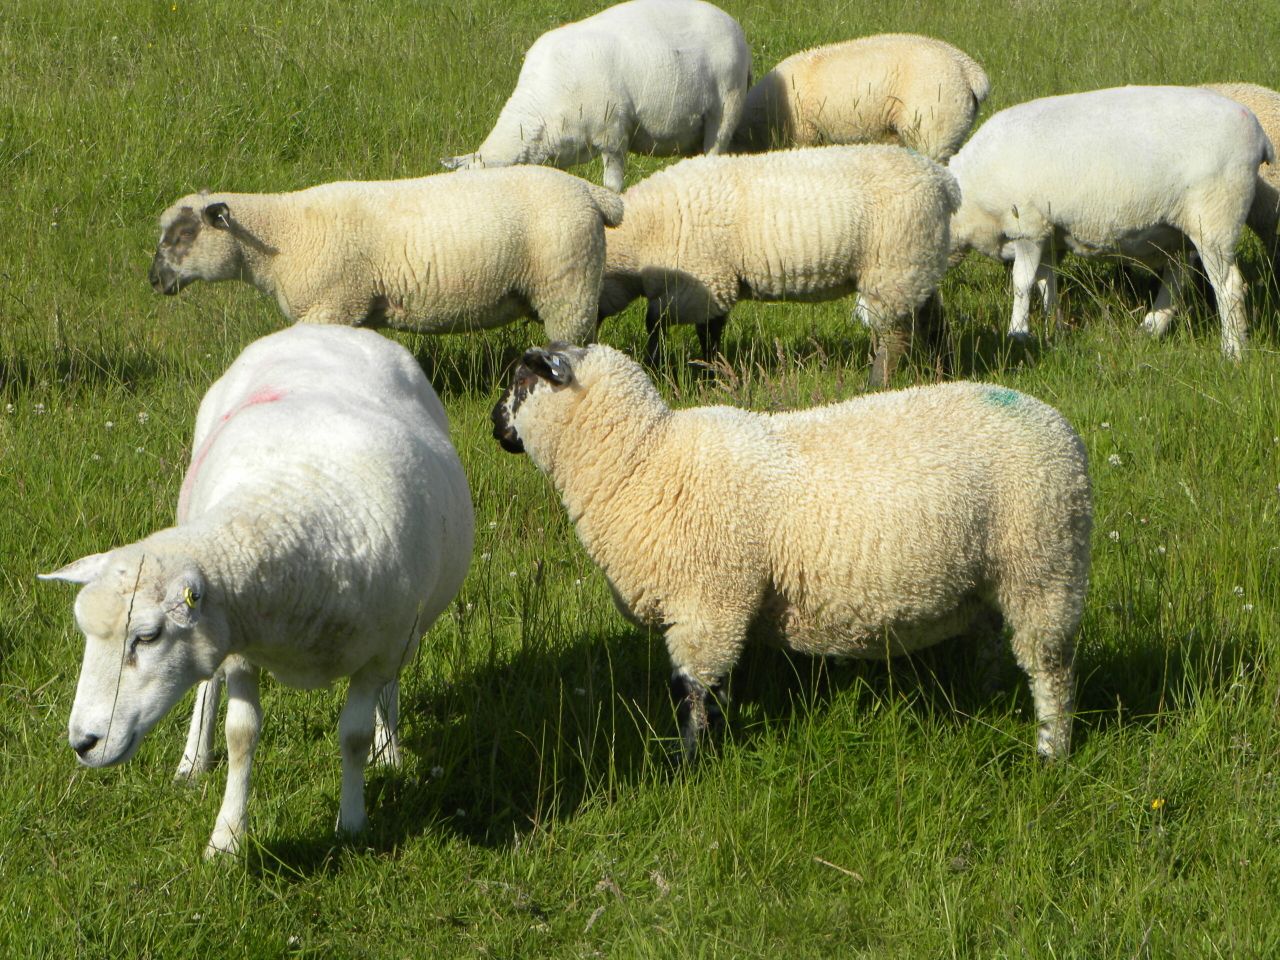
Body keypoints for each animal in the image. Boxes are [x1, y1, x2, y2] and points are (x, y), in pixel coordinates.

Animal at [40, 325, 475, 857]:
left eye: (147, 636)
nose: (82, 743)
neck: (279, 512)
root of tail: (326, 326)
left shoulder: (377, 653)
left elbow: (352, 736)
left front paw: (353, 824)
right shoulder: (236, 645)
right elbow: (241, 734)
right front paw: (227, 838)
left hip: (405, 630)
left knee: (391, 686)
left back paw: (388, 749)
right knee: (207, 688)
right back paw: (193, 761)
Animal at [150, 167, 624, 344]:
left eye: (184, 234)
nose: (153, 280)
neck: (282, 235)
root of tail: (591, 193)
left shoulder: (333, 305)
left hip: (567, 291)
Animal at [491, 343, 1092, 760]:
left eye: (522, 379)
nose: (493, 425)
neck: (643, 460)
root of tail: (1060, 426)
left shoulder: (707, 606)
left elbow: (692, 695)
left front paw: (688, 765)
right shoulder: (718, 609)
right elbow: (712, 692)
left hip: (1045, 566)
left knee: (1053, 674)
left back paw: (1050, 753)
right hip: (996, 577)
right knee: (996, 645)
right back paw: (988, 696)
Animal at [596, 144, 960, 385]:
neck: (643, 236)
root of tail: (944, 182)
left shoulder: (701, 283)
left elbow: (657, 323)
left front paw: (658, 365)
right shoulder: (716, 284)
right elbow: (709, 330)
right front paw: (713, 370)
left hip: (894, 266)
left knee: (895, 335)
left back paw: (876, 383)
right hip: (918, 263)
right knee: (933, 320)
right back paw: (943, 370)